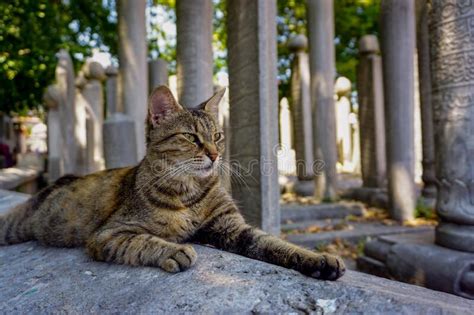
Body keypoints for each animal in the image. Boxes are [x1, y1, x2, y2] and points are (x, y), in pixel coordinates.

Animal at [0, 86, 344, 282]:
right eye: (191, 138)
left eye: (218, 135)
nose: (215, 154)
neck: (190, 192)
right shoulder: (109, 234)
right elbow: (142, 241)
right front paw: (175, 250)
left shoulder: (232, 228)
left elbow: (276, 244)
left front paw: (317, 259)